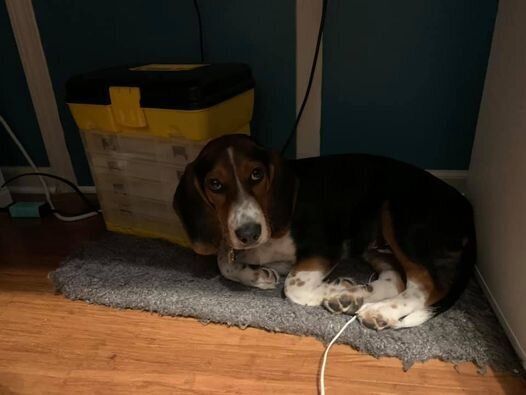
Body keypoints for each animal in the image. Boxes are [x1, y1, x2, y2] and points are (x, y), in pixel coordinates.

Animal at [174, 135, 478, 330]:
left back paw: (374, 308)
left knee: (423, 287)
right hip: (372, 242)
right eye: (214, 184)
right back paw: (354, 296)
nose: (248, 233)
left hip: (397, 216)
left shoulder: (323, 247)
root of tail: (467, 207)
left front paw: (331, 288)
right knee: (396, 279)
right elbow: (224, 262)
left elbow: (293, 286)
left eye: (257, 174)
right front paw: (257, 276)